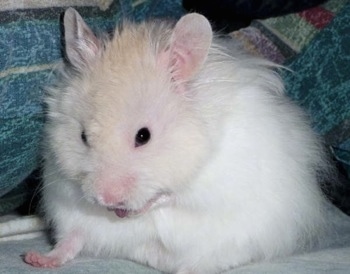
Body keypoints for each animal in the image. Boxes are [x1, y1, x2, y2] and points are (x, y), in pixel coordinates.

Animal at [23, 7, 330, 272]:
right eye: (83, 136)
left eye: (143, 136)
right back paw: (36, 259)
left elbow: (171, 195)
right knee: (71, 241)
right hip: (70, 218)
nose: (106, 200)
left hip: (233, 241)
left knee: (202, 262)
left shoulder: (210, 180)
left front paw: (135, 209)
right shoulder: (62, 186)